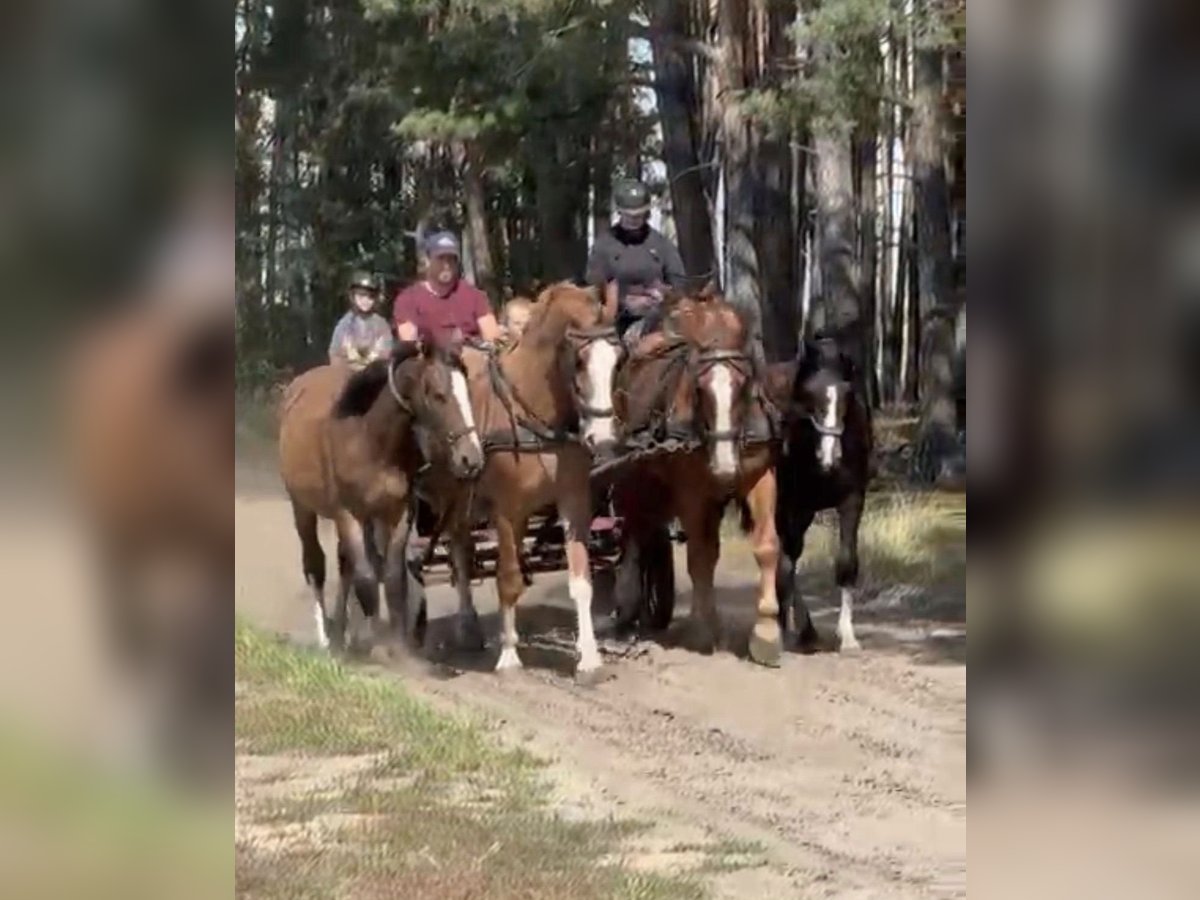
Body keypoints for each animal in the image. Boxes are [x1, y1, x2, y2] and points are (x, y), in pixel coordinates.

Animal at [277, 341, 483, 652]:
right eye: (438, 395)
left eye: (468, 391)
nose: (471, 458)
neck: (368, 437)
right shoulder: (347, 514)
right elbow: (366, 579)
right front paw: (377, 645)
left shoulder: (397, 513)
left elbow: (392, 577)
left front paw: (398, 645)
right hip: (302, 507)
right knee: (316, 565)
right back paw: (326, 636)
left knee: (348, 564)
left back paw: (343, 631)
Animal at [413, 281, 621, 679]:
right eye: (579, 361)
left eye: (617, 360)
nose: (601, 440)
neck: (534, 414)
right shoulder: (507, 511)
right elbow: (506, 579)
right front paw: (509, 654)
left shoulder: (574, 502)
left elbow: (580, 580)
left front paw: (589, 656)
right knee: (458, 555)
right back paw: (466, 625)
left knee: (462, 550)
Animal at [606, 289, 783, 666]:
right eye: (700, 388)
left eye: (744, 384)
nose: (724, 467)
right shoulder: (692, 493)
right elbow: (699, 557)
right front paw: (705, 630)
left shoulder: (760, 477)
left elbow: (765, 547)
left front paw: (766, 634)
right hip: (632, 476)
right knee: (632, 536)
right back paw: (626, 611)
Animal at [762, 337, 872, 652]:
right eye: (809, 394)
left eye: (848, 395)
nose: (829, 456)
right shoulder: (790, 505)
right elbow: (785, 565)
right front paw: (784, 629)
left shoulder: (851, 501)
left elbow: (847, 562)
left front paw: (847, 635)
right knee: (784, 559)